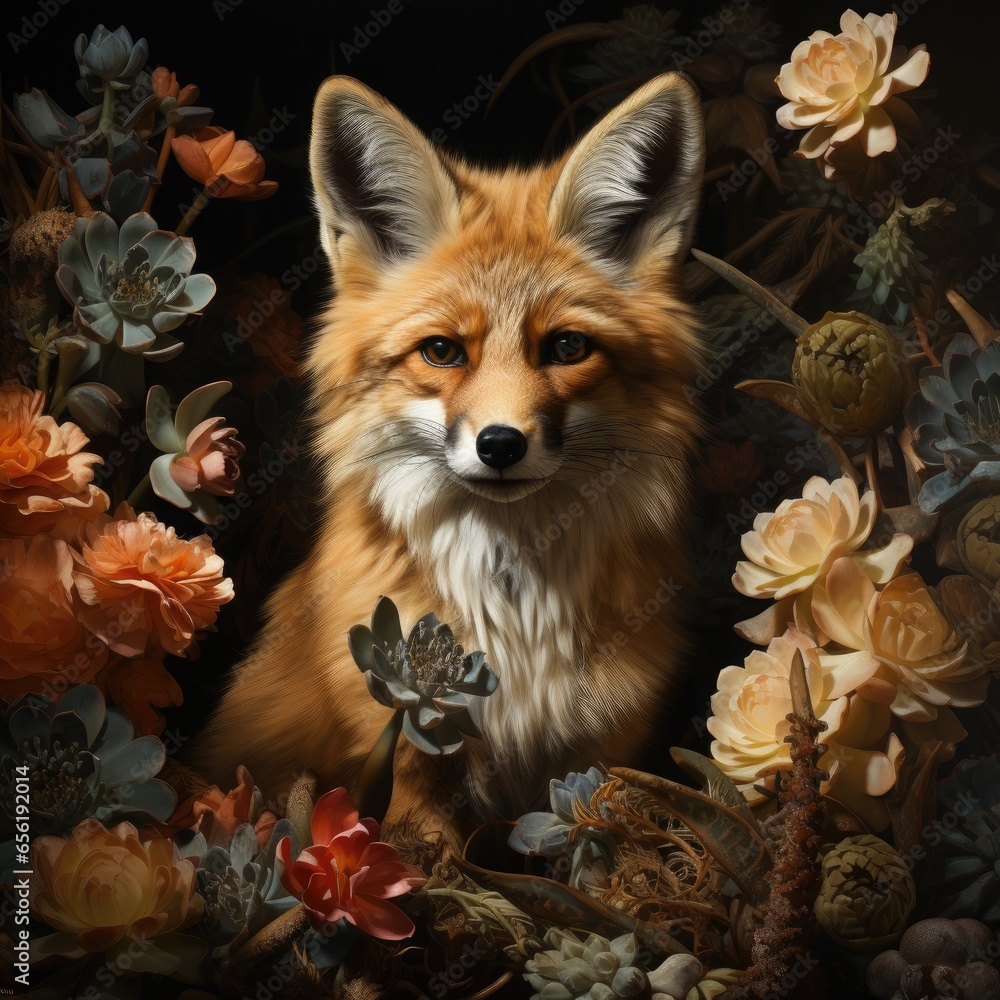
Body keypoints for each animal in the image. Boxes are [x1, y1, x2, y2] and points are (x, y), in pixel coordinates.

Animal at [197, 70, 707, 846]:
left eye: (566, 347)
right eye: (442, 351)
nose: (500, 444)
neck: (513, 620)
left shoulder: (602, 756)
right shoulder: (396, 757)